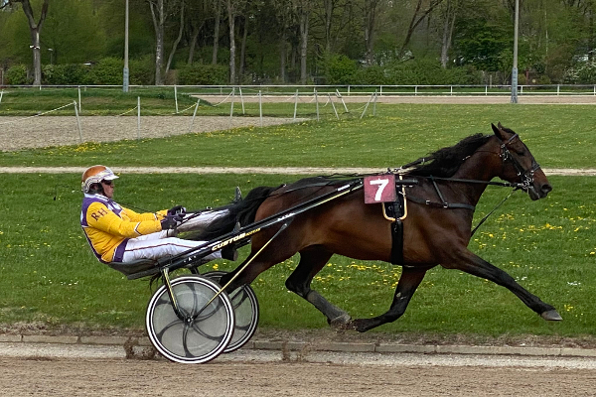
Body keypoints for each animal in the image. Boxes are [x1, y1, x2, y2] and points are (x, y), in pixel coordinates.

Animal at [193, 124, 560, 332]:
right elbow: (502, 275)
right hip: (275, 248)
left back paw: (337, 316)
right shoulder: (453, 254)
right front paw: (547, 309)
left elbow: (397, 307)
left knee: (295, 282)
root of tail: (277, 191)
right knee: (230, 283)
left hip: (317, 250)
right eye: (520, 151)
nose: (544, 186)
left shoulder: (417, 263)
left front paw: (360, 323)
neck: (443, 195)